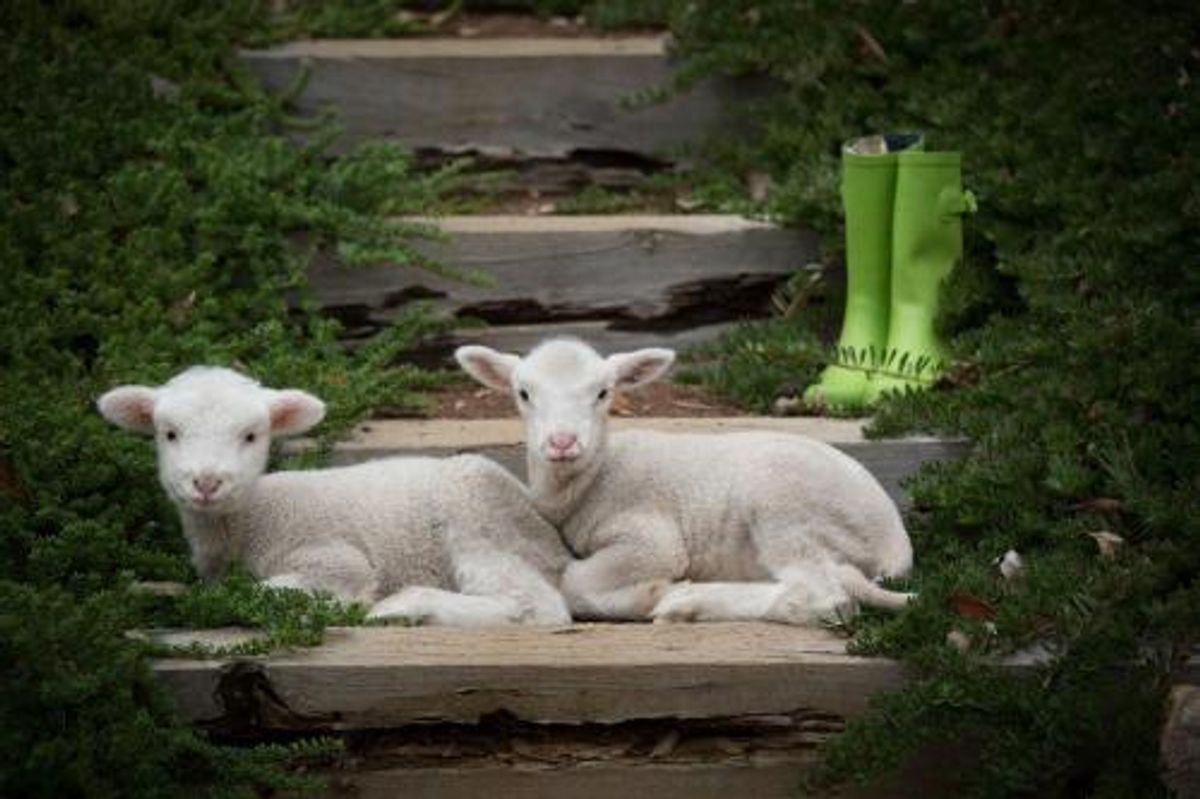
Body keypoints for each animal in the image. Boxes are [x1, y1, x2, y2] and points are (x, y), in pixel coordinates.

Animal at [98, 364, 571, 623]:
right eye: (169, 434)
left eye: (251, 436)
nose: (207, 482)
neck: (249, 523)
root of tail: (555, 541)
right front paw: (141, 589)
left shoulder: (334, 559)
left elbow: (265, 590)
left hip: (477, 517)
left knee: (537, 607)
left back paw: (401, 608)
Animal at [453, 335, 912, 623]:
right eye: (523, 393)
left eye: (603, 393)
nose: (562, 442)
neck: (594, 479)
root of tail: (895, 543)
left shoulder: (650, 540)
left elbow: (575, 582)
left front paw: (649, 593)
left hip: (786, 508)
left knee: (823, 595)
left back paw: (688, 602)